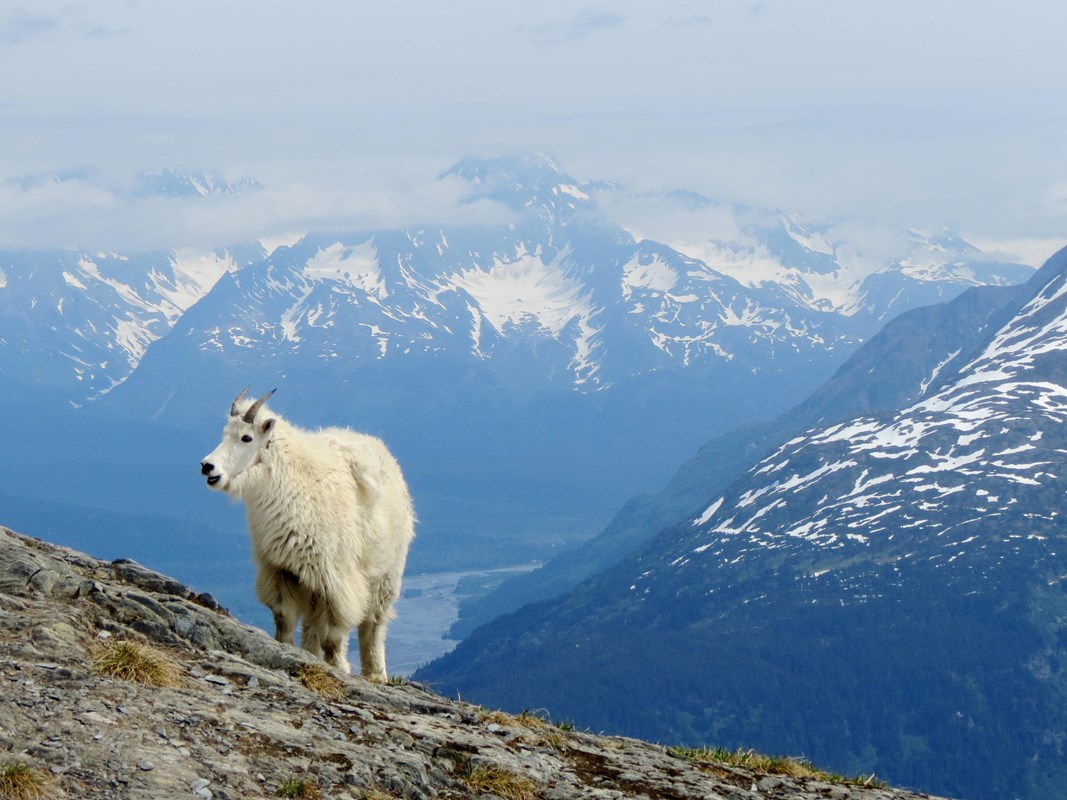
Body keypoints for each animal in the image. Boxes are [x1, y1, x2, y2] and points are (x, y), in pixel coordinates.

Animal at [200, 388, 415, 680]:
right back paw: (312, 653)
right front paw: (286, 650)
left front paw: (338, 667)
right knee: (314, 622)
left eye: (246, 437)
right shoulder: (282, 569)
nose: (207, 467)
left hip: (386, 575)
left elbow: (334, 634)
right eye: (224, 433)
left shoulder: (336, 576)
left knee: (373, 624)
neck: (293, 485)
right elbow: (284, 619)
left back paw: (375, 674)